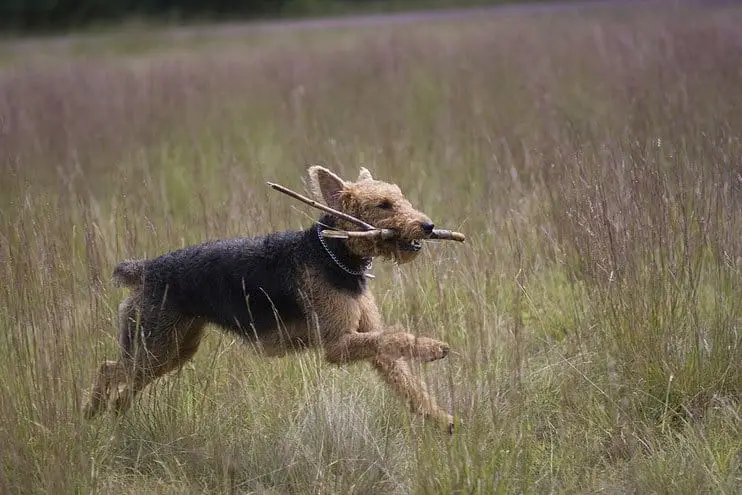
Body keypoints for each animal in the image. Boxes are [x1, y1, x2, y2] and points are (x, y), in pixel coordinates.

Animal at [81, 166, 454, 430]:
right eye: (383, 205)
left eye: (400, 197)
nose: (428, 226)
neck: (335, 254)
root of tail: (144, 269)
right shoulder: (338, 344)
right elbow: (394, 338)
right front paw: (433, 348)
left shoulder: (366, 339)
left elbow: (403, 375)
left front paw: (440, 418)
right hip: (154, 346)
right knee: (107, 369)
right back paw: (91, 412)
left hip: (173, 349)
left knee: (122, 381)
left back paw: (113, 414)